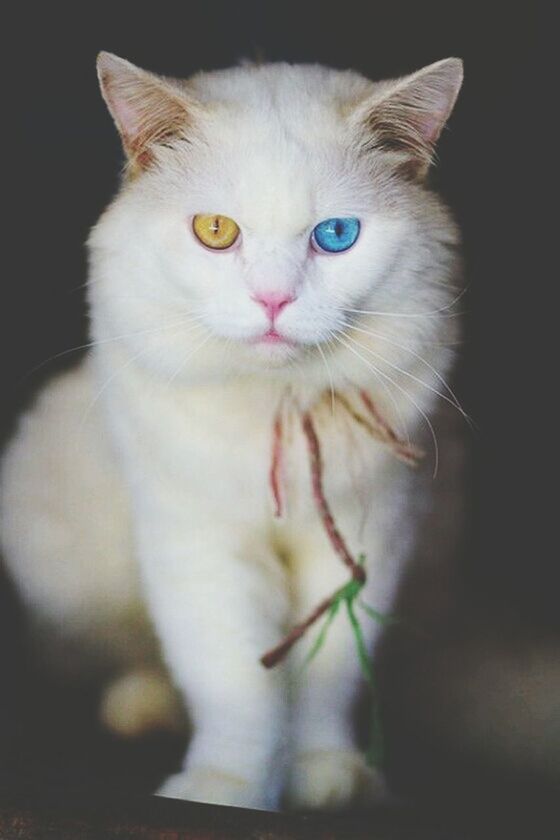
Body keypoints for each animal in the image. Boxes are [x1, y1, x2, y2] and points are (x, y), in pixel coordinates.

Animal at [0, 50, 464, 808]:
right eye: (216, 231)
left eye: (336, 236)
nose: (273, 301)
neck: (275, 403)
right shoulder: (199, 543)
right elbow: (235, 685)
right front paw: (226, 786)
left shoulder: (366, 539)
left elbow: (326, 679)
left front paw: (325, 775)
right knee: (136, 655)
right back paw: (142, 709)